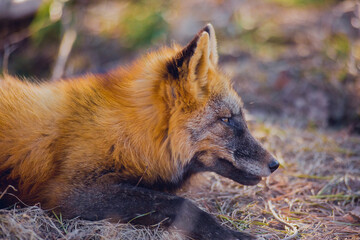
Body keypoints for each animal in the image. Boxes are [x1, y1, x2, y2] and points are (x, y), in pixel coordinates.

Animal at [0, 23, 278, 239]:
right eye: (227, 120)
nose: (275, 164)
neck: (128, 134)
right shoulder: (66, 192)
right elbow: (182, 205)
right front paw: (229, 233)